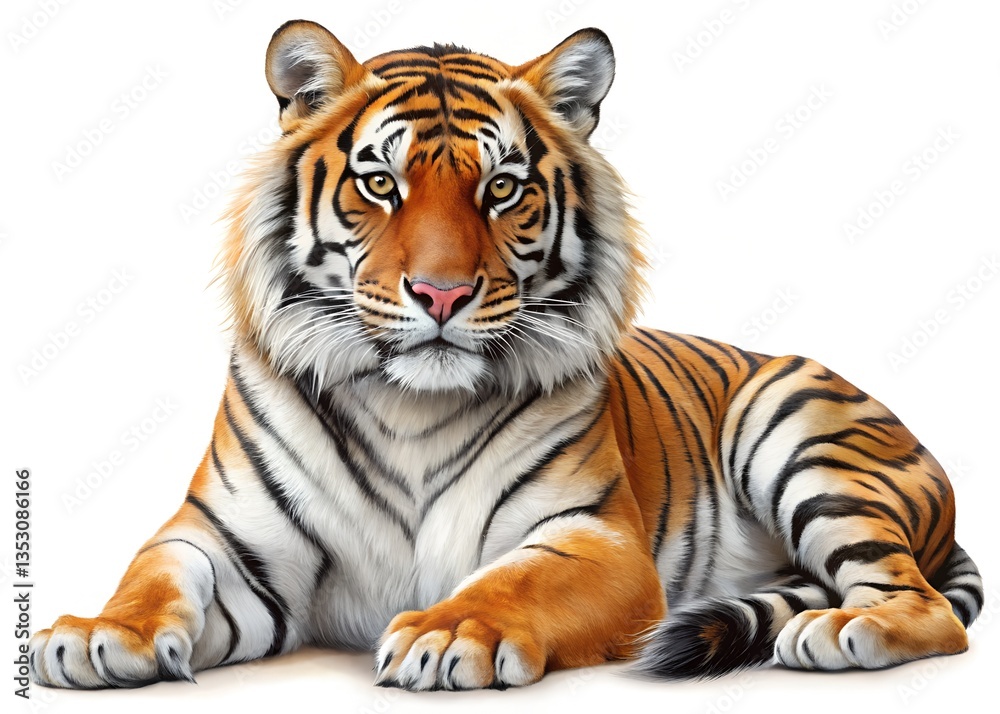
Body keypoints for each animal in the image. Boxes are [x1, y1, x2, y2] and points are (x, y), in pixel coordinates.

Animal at [29, 20, 983, 691]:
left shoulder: (592, 538)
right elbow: (154, 575)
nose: (442, 294)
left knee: (929, 607)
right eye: (381, 183)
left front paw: (446, 631)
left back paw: (837, 633)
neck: (407, 405)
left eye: (501, 189)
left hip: (799, 436)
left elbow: (510, 584)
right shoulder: (228, 540)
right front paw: (99, 634)